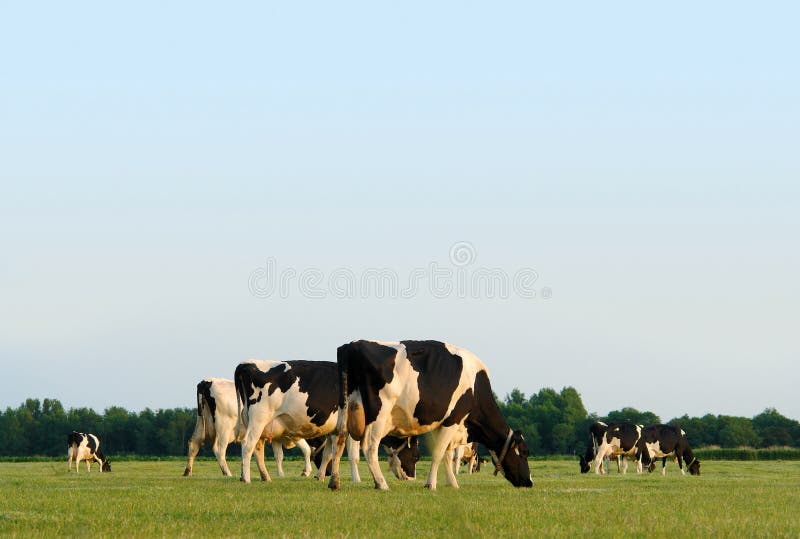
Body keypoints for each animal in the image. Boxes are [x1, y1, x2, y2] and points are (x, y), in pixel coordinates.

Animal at [184, 380, 312, 480]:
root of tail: (208, 381)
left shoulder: (276, 437)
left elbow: (279, 456)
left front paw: (280, 475)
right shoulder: (292, 434)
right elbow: (307, 449)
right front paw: (306, 472)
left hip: (201, 422)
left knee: (194, 444)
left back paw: (187, 472)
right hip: (224, 428)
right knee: (219, 450)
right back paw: (228, 473)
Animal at [234, 360, 362, 484]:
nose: (328, 473)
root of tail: (246, 364)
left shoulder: (333, 429)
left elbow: (328, 453)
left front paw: (320, 476)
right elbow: (353, 455)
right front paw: (356, 480)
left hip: (257, 423)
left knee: (258, 448)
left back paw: (265, 477)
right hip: (259, 418)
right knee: (247, 444)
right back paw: (246, 478)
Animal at [324, 342, 532, 494]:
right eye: (524, 453)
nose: (529, 482)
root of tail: (352, 345)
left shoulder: (444, 424)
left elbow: (447, 455)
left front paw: (452, 483)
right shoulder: (453, 418)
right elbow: (439, 453)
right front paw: (431, 484)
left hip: (346, 408)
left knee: (339, 438)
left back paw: (334, 482)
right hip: (379, 414)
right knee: (368, 446)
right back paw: (381, 483)